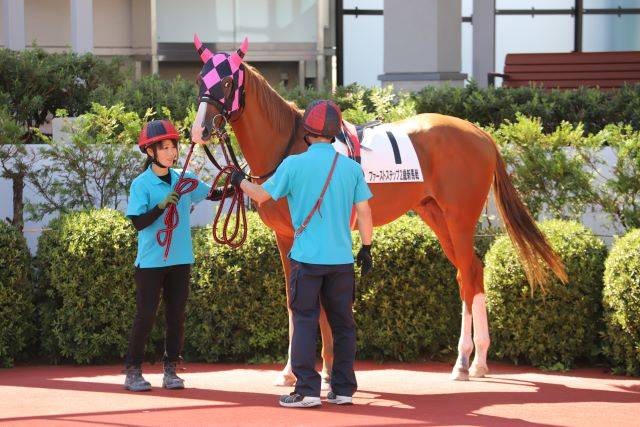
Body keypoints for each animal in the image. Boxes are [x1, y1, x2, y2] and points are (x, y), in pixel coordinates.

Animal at [189, 37, 568, 384]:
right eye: (200, 78)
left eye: (226, 81)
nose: (200, 129)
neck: (291, 146)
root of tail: (480, 133)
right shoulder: (286, 237)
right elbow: (292, 299)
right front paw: (290, 372)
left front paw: (326, 370)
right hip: (437, 216)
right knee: (468, 273)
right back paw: (475, 360)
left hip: (460, 218)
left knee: (471, 275)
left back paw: (466, 362)